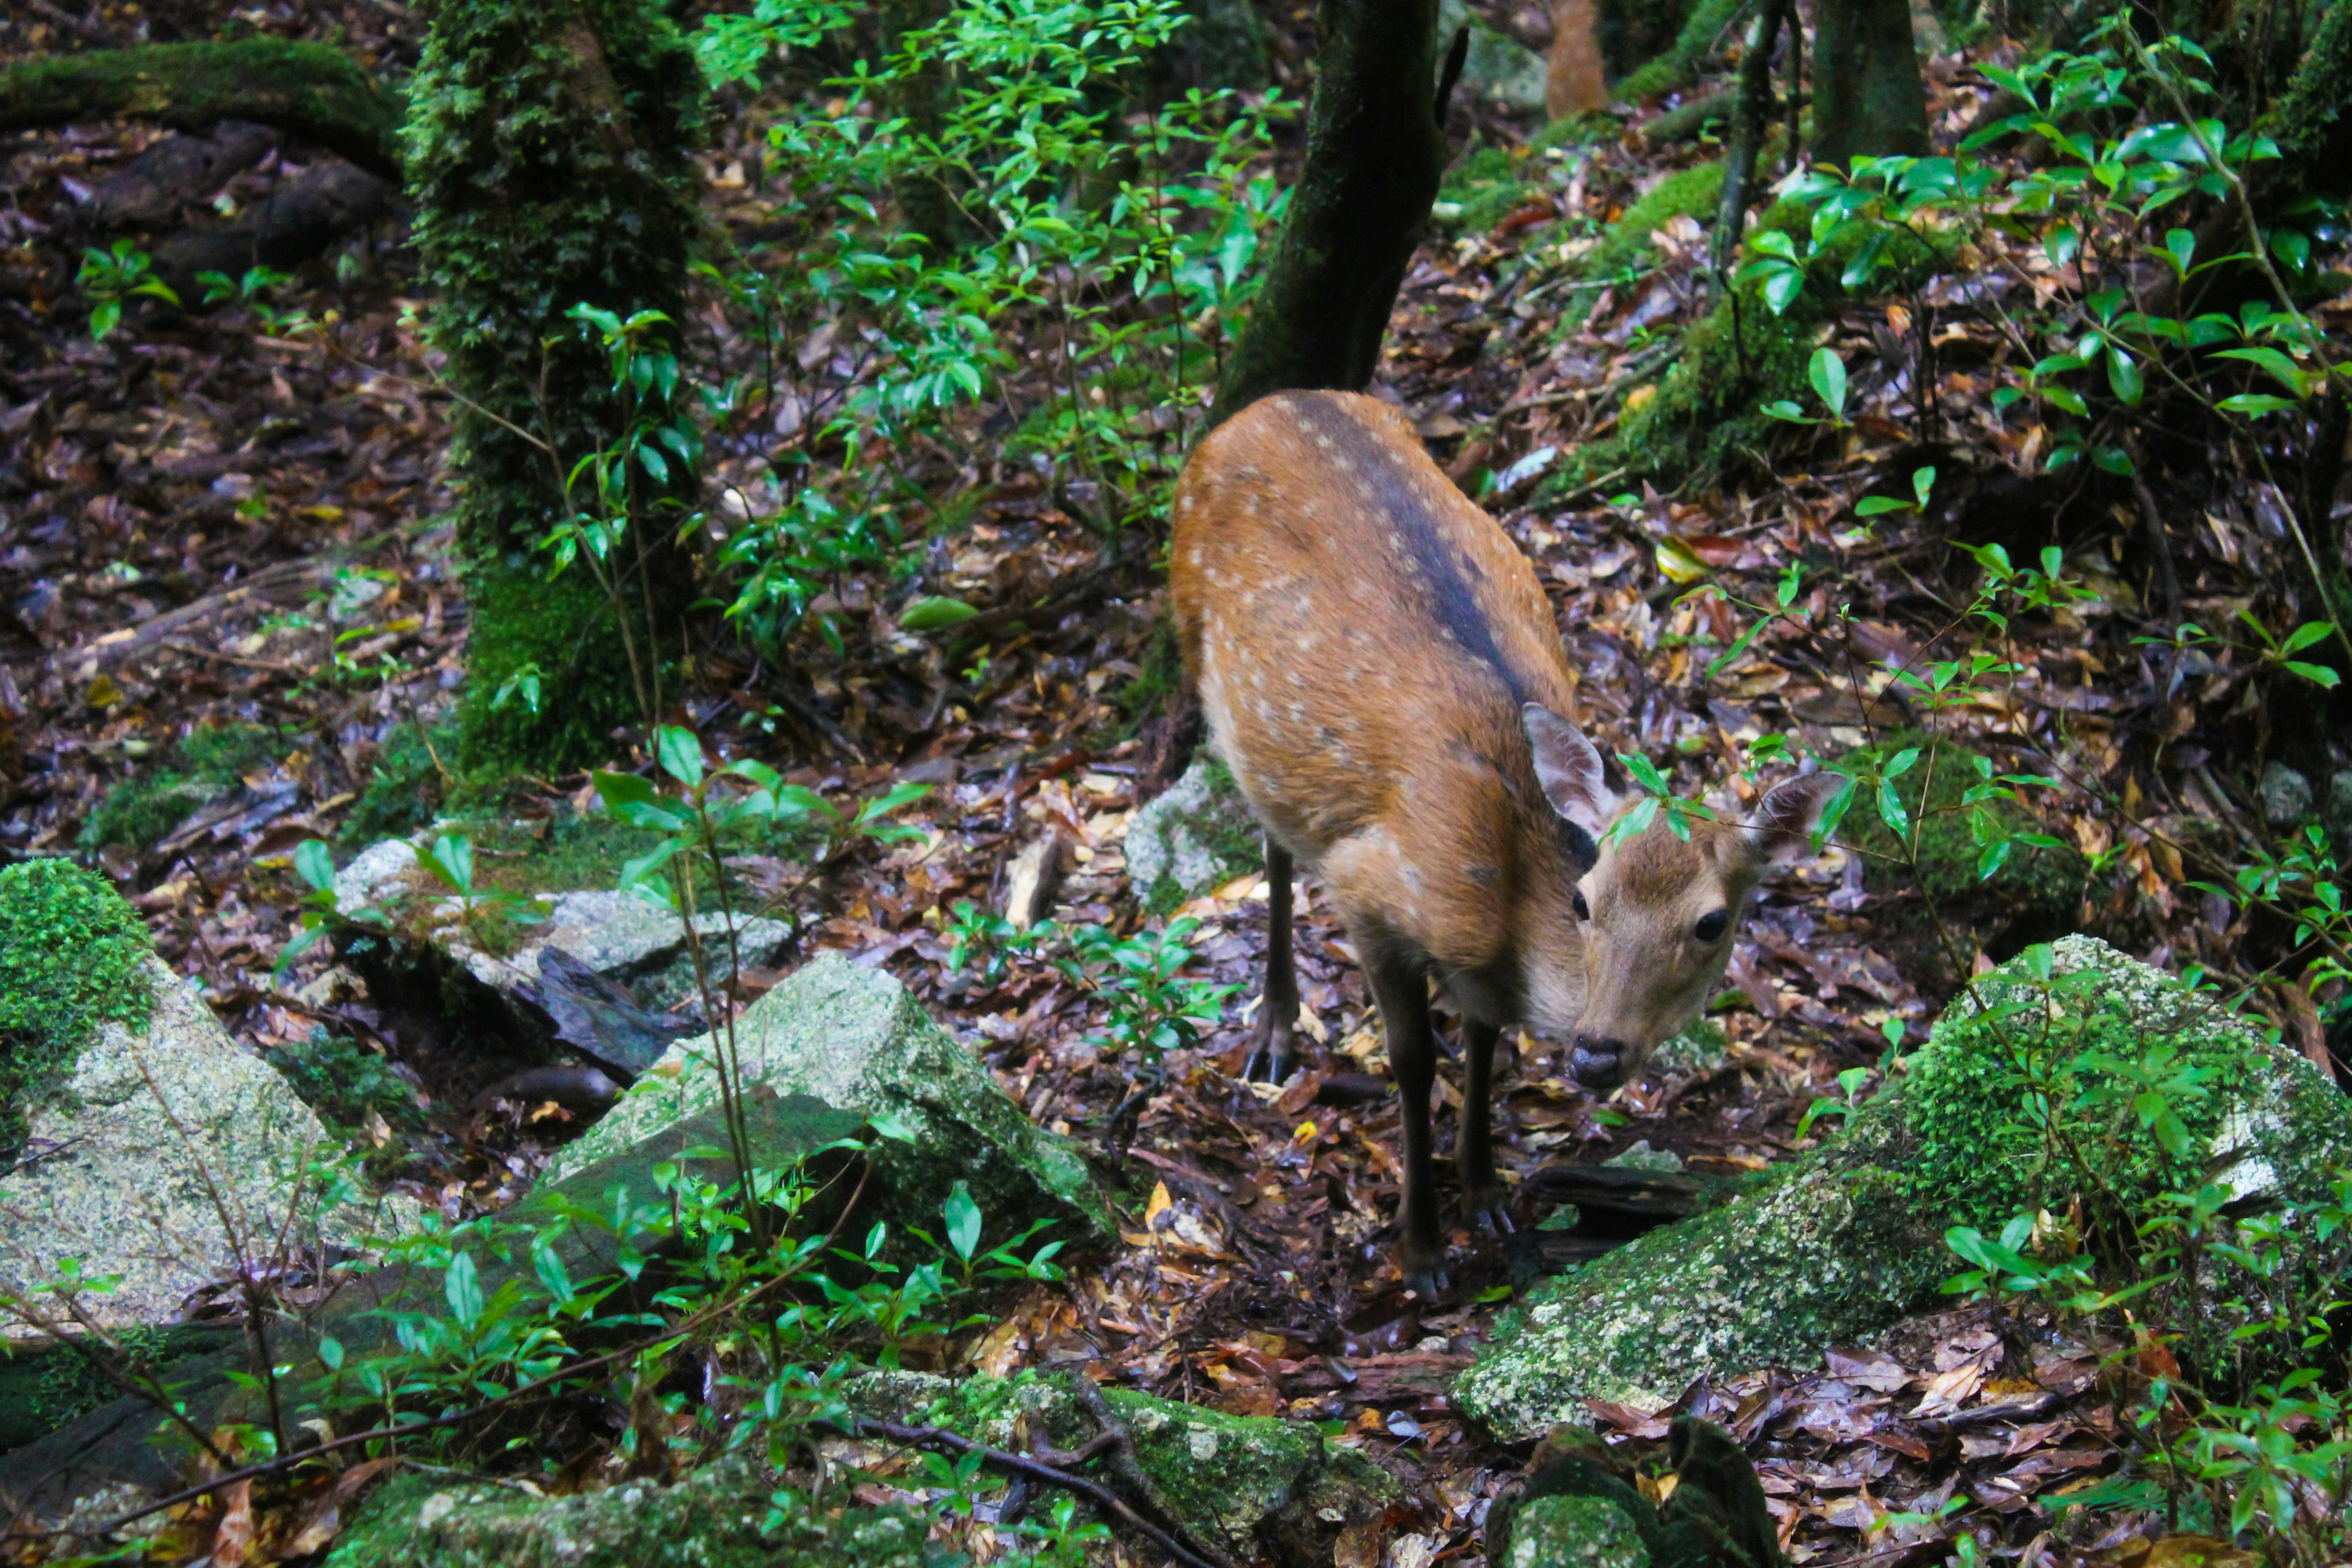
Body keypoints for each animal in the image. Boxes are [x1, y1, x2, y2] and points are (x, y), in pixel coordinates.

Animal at [1166, 385, 1844, 1297]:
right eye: (1586, 902)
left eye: (1711, 923)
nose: (1595, 1054)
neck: (1507, 905)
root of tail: (1267, 401)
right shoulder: (1371, 887)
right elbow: (1414, 1060)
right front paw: (1421, 1250)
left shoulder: (1480, 969)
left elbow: (1485, 1035)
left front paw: (1484, 1189)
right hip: (1200, 650)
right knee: (1270, 842)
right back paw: (1274, 1031)